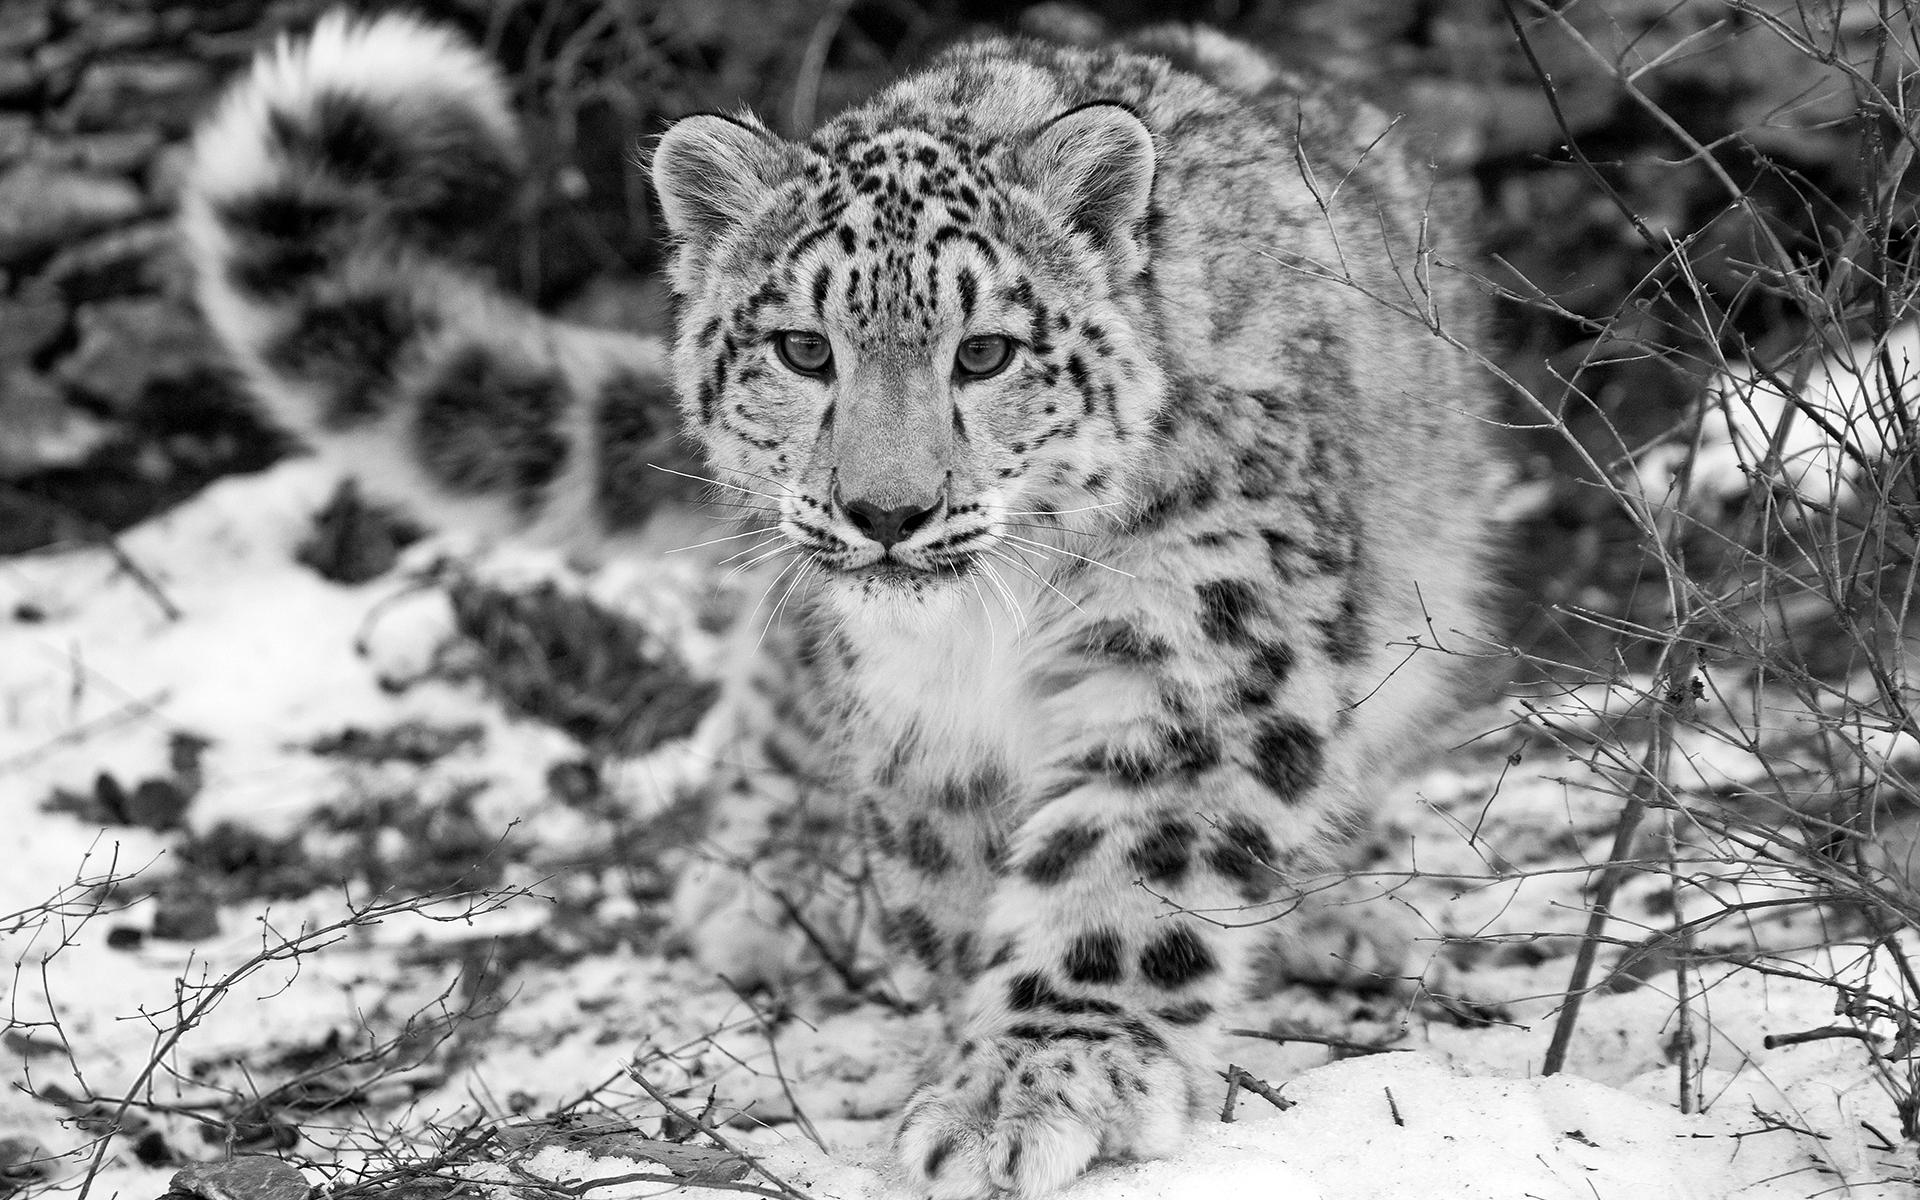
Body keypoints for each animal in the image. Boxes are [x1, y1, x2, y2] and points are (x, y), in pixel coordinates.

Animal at [181, 10, 1498, 1197]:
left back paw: (1342, 919)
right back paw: (761, 887)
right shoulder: (918, 721)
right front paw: (968, 1055)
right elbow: (952, 889)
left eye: (987, 352)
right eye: (804, 350)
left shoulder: (1195, 644)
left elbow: (1125, 867)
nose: (886, 511)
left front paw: (1038, 1082)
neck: (988, 629)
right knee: (774, 691)